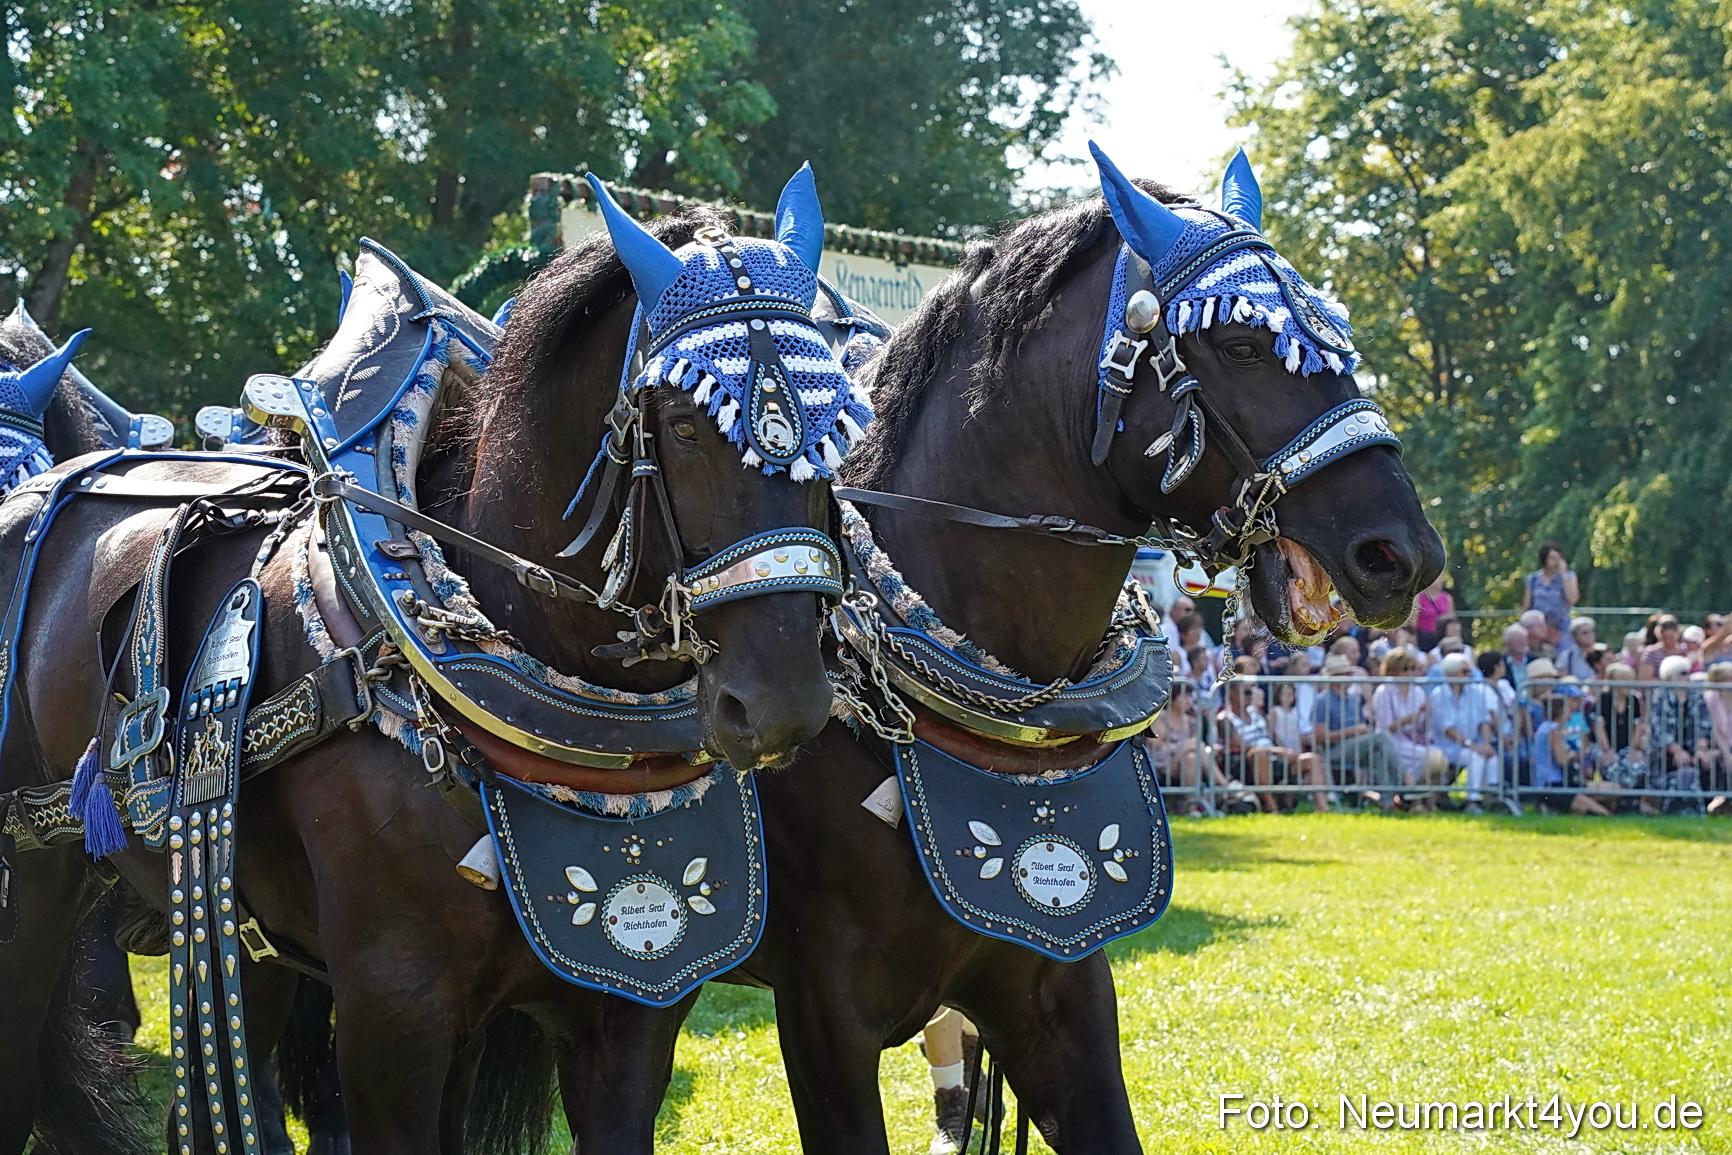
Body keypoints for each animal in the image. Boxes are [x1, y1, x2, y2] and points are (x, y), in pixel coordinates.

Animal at [0, 164, 863, 1155]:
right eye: (684, 421)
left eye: (843, 421)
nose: (783, 700)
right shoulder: (392, 1013)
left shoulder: (631, 1010)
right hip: (36, 881)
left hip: (234, 923)